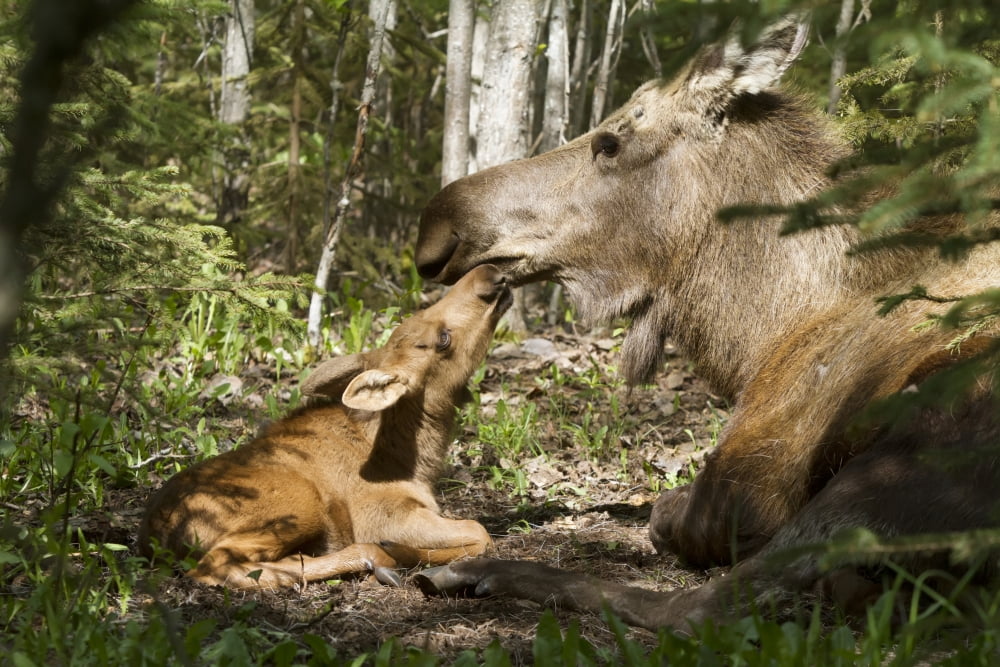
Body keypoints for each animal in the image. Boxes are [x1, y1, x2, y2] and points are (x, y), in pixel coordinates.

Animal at [139, 264, 511, 589]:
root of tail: (157, 535)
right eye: (443, 339)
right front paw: (403, 551)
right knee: (216, 566)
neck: (416, 458)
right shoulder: (384, 515)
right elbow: (480, 532)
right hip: (301, 502)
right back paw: (375, 560)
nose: (490, 272)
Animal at [411, 17, 1000, 630]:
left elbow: (664, 517)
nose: (439, 225)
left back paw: (471, 571)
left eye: (610, 142)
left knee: (700, 606)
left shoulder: (752, 481)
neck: (759, 338)